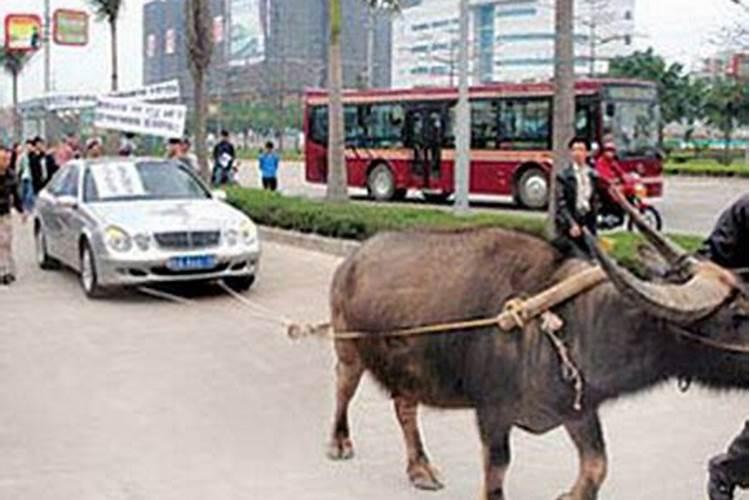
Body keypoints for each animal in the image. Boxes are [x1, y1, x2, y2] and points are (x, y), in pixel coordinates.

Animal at [326, 227, 748, 500]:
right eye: (738, 315)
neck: (569, 323)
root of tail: (351, 262)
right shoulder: (492, 413)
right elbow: (496, 475)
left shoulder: (578, 407)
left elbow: (597, 468)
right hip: (347, 350)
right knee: (343, 390)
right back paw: (339, 443)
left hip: (409, 367)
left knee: (404, 407)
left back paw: (420, 468)